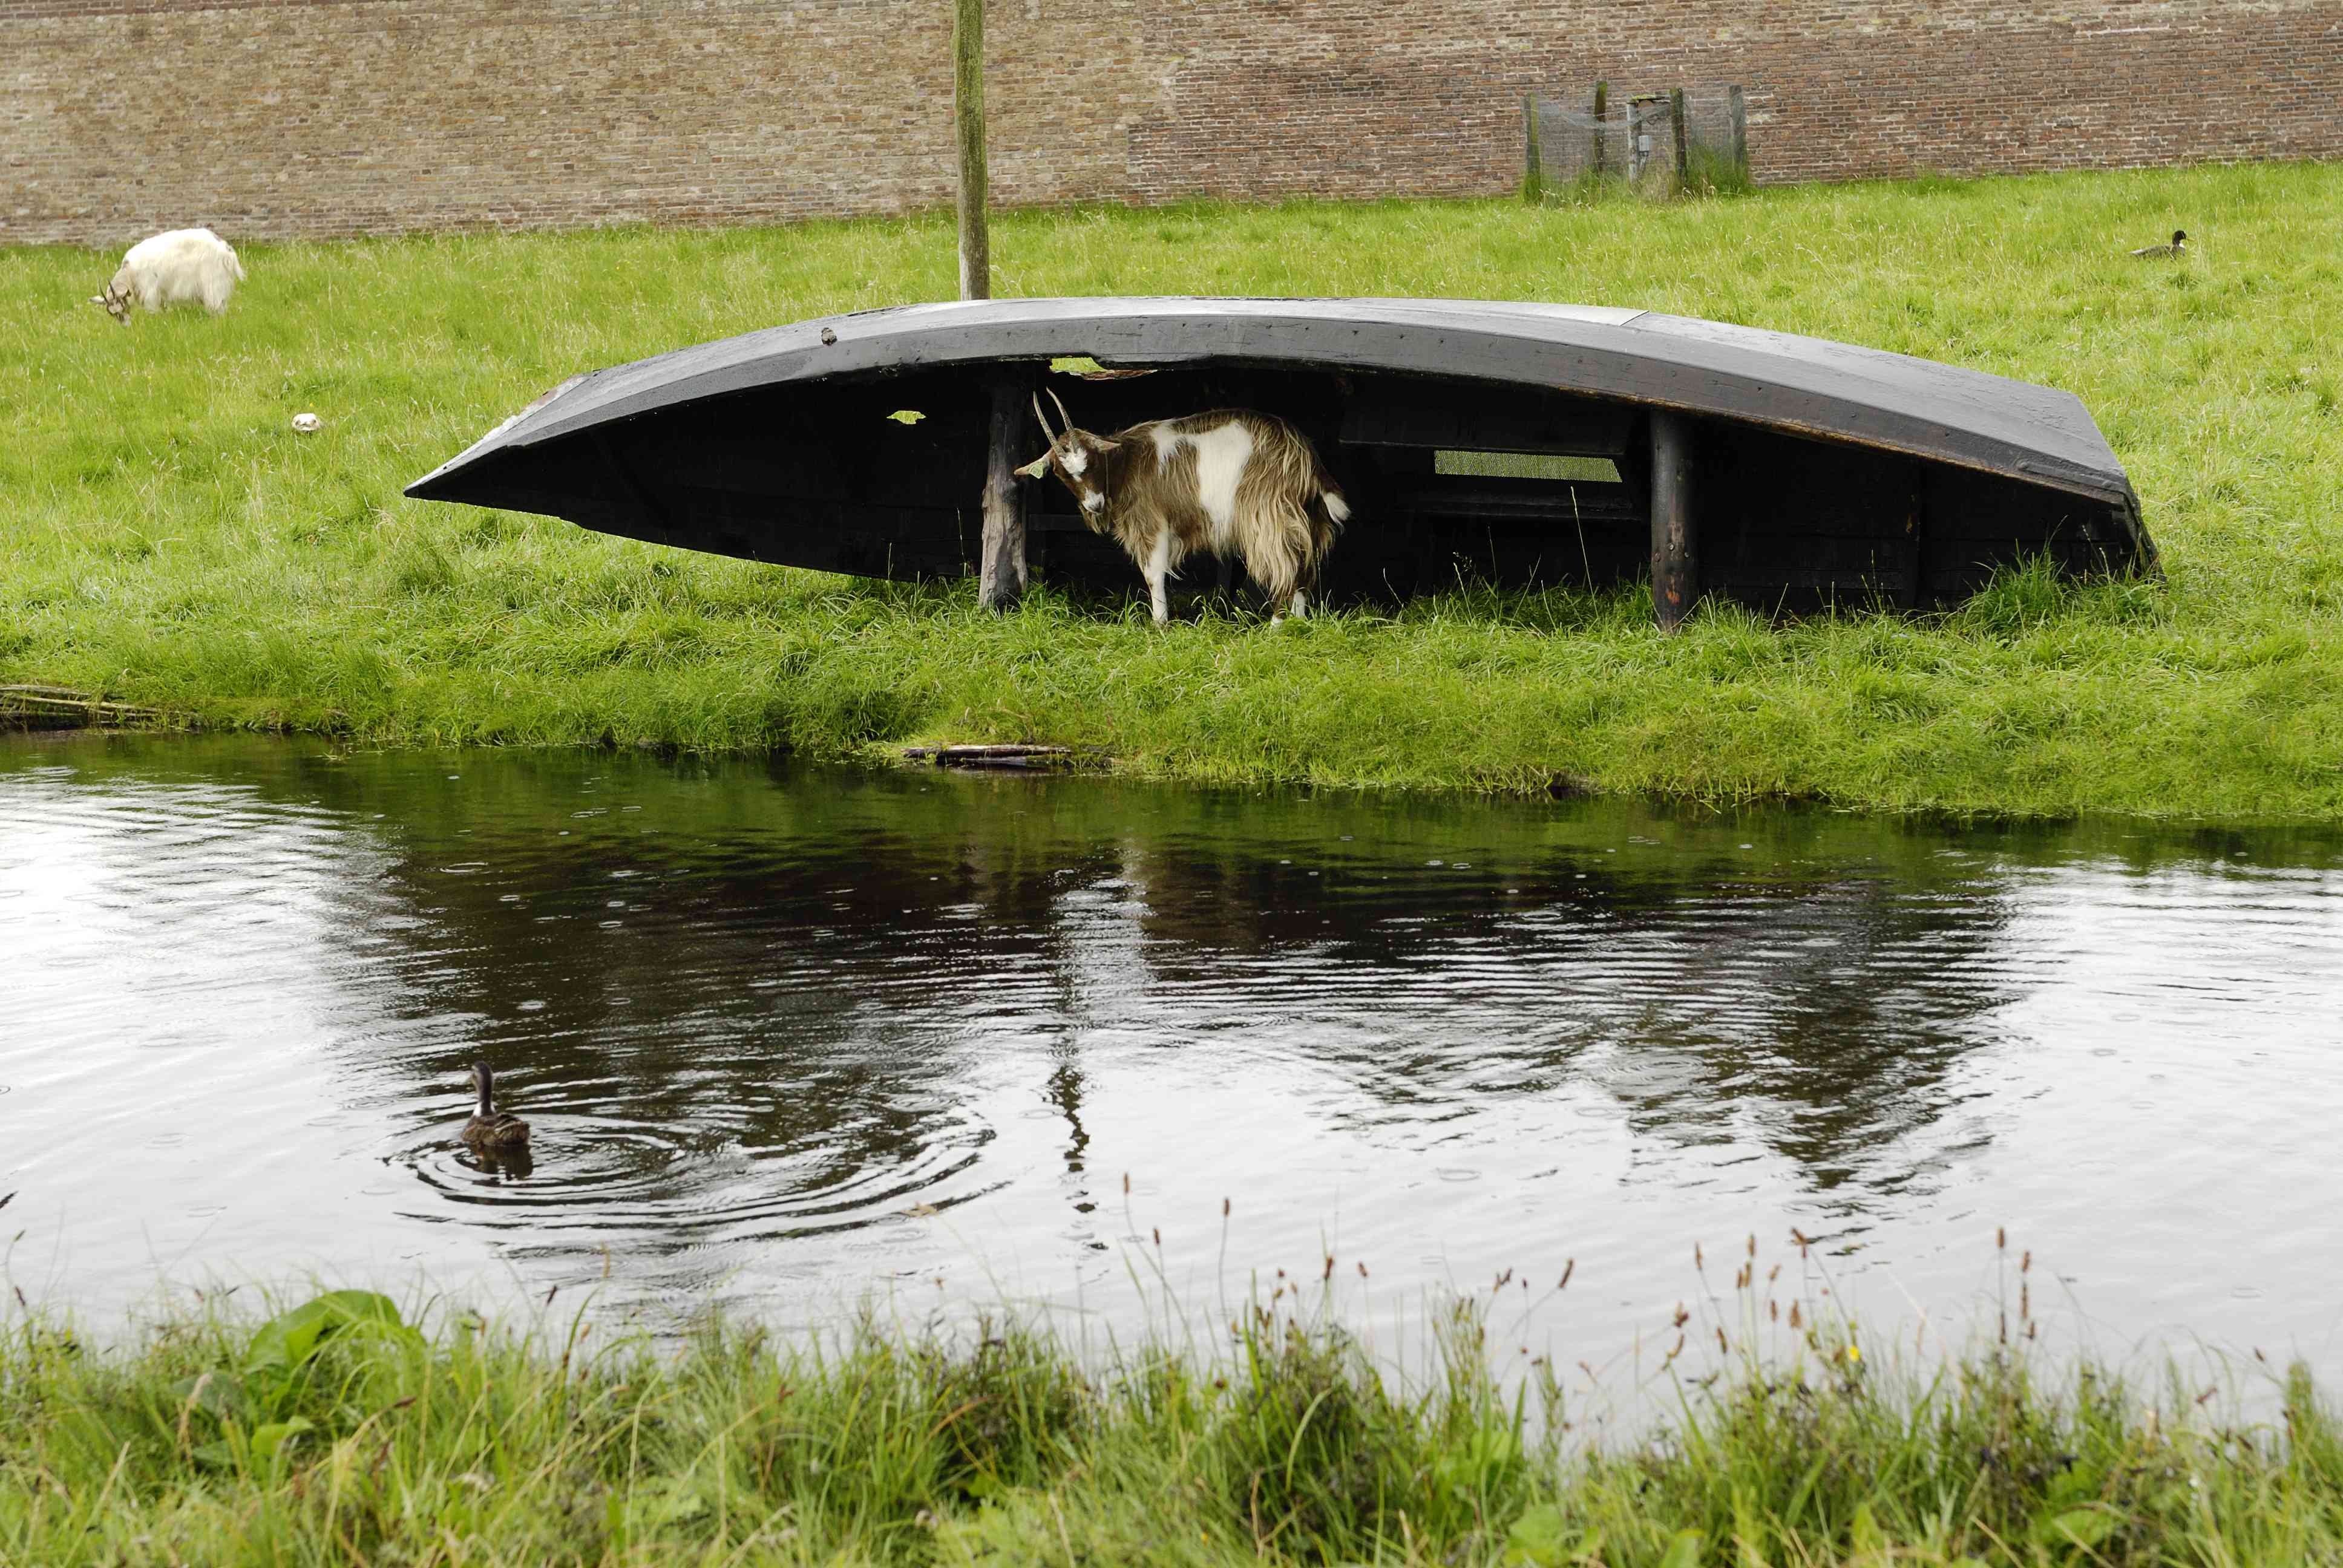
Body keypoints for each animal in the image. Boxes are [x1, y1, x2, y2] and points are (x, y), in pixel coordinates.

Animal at [93, 226, 247, 323]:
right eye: (112, 314)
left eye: (123, 307)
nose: (126, 326)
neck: (130, 273)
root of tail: (226, 249)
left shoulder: (150, 294)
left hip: (213, 284)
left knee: (218, 308)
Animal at [1017, 391, 1349, 623]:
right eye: (1061, 474)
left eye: (1093, 461)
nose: (1095, 504)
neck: (1126, 462)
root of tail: (1305, 456)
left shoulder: (1151, 522)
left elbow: (1153, 574)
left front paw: (1159, 624)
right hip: (1307, 515)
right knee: (1306, 566)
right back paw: (1298, 623)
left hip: (1267, 514)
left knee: (1286, 567)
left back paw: (1277, 627)